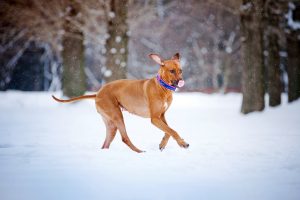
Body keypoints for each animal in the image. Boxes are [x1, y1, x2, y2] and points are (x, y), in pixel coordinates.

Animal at [51, 52, 188, 152]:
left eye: (181, 70)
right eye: (172, 71)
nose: (181, 81)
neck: (162, 87)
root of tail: (98, 93)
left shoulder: (161, 115)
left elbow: (168, 131)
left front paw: (163, 144)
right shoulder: (154, 118)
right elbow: (172, 130)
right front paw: (182, 143)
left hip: (111, 123)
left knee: (106, 143)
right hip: (117, 115)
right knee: (125, 138)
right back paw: (139, 152)